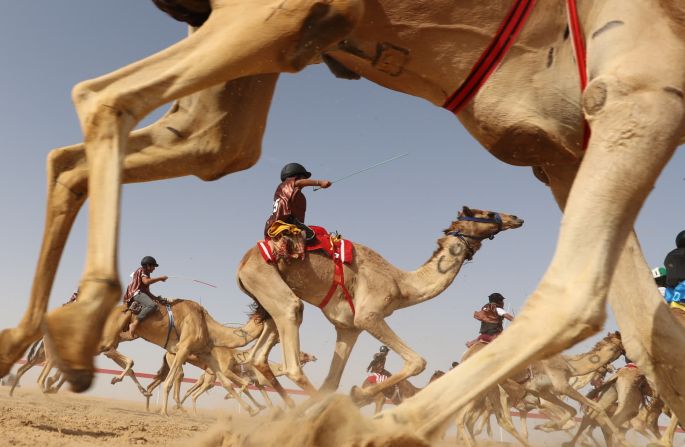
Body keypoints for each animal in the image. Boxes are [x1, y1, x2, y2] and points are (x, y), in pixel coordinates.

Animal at [238, 207, 520, 406]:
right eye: (485, 213)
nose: (516, 218)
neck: (402, 284)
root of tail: (242, 264)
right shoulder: (368, 315)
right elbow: (417, 362)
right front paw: (358, 394)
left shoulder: (349, 327)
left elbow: (332, 381)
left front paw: (354, 394)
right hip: (271, 285)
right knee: (293, 358)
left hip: (270, 300)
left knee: (258, 356)